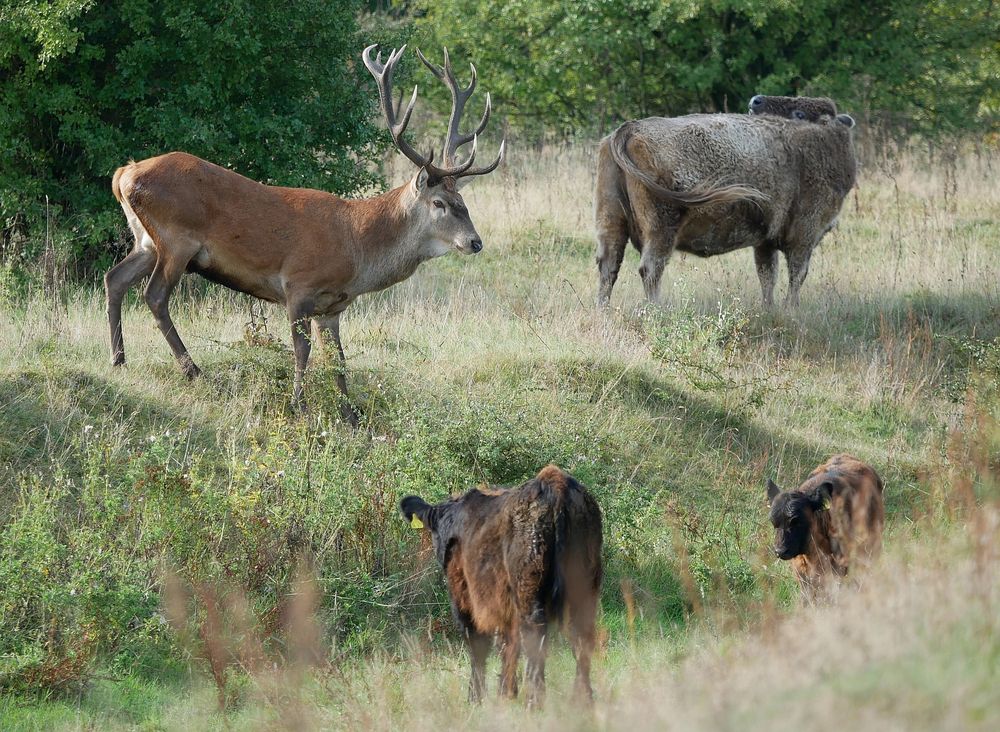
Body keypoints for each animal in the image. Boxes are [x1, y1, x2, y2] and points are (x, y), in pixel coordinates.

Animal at [398, 466, 600, 708]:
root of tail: (554, 482)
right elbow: (508, 644)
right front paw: (506, 692)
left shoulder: (464, 595)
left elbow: (478, 643)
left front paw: (476, 697)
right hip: (584, 584)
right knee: (582, 636)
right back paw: (582, 700)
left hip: (528, 586)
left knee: (534, 636)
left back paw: (534, 702)